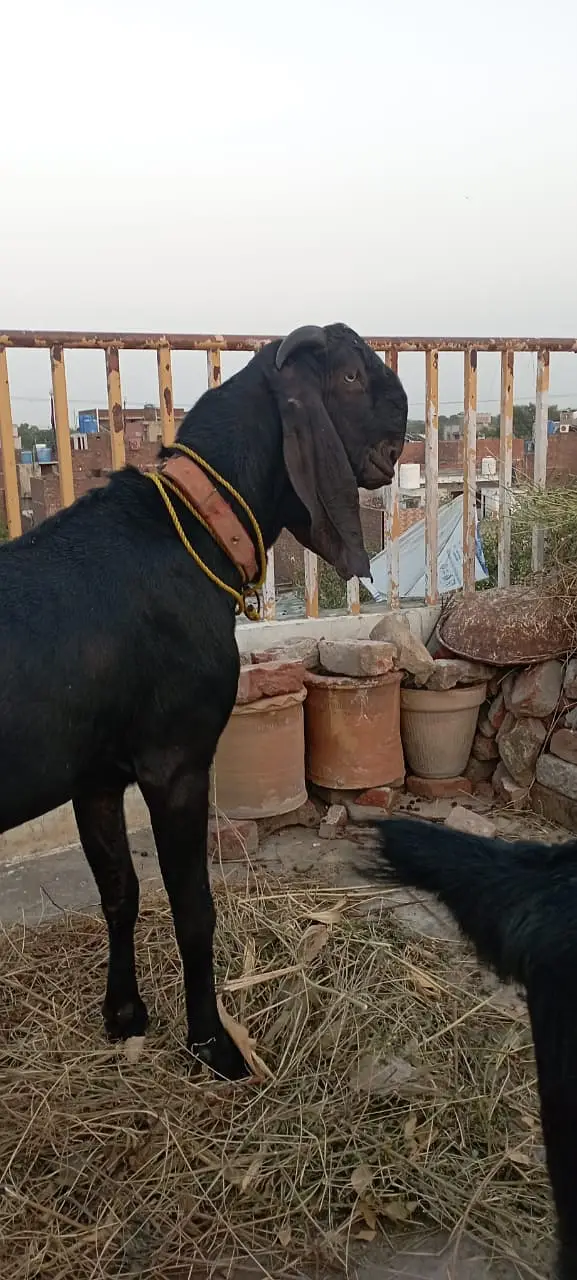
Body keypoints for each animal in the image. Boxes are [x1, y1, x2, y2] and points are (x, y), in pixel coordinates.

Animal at [0, 323, 407, 1080]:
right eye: (346, 377)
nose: (401, 422)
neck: (194, 528)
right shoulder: (176, 760)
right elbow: (192, 907)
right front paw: (213, 1042)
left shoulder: (96, 775)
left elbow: (120, 891)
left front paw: (125, 1015)